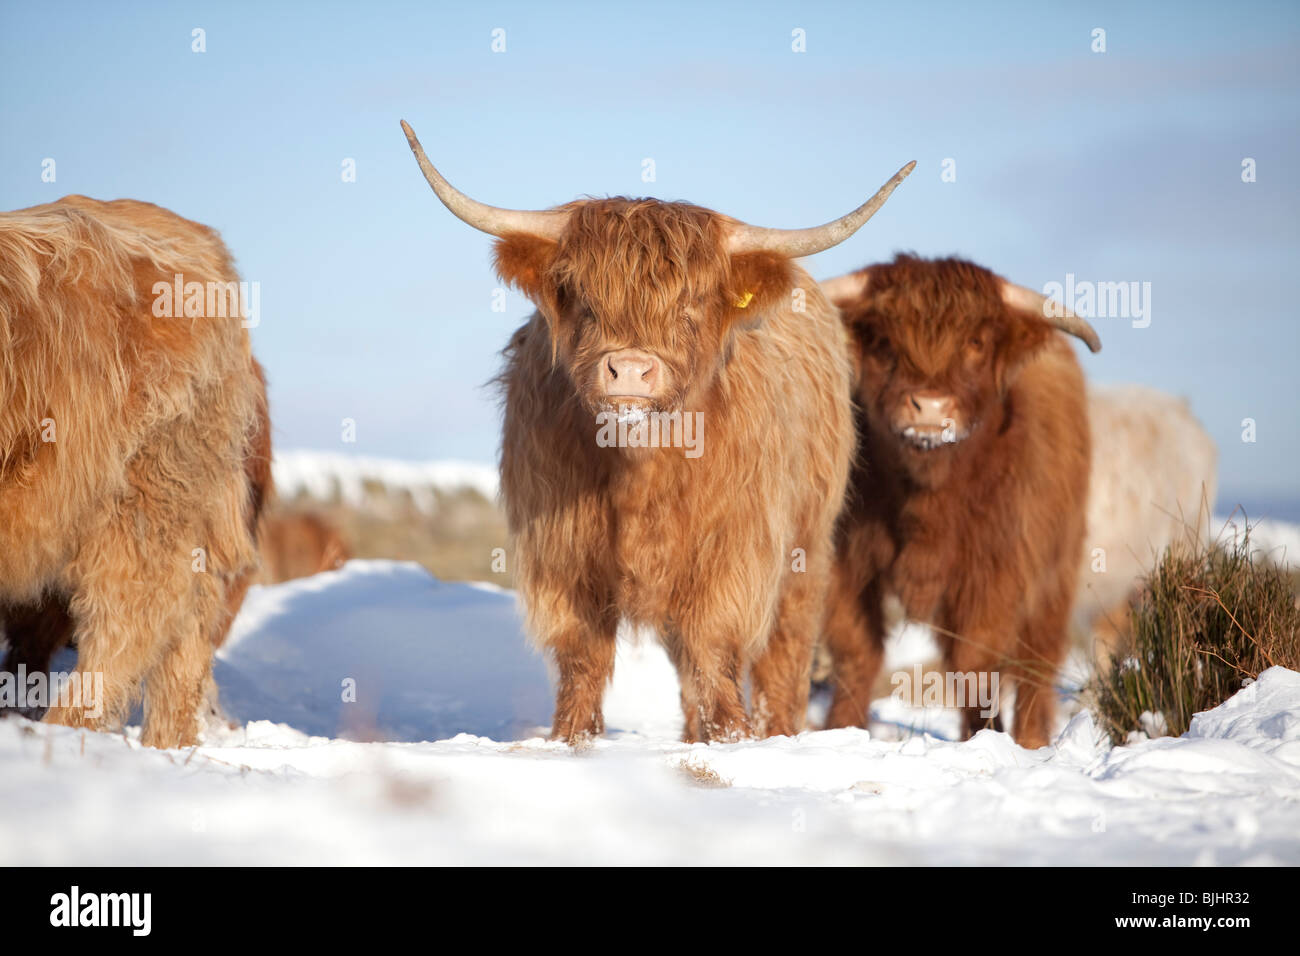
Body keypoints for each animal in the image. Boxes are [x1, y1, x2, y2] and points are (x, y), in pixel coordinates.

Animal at [400, 119, 909, 743]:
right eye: (584, 299)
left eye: (691, 304)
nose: (630, 369)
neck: (638, 466)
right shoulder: (562, 554)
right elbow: (584, 653)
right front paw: (571, 740)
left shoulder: (734, 553)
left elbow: (714, 647)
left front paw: (733, 741)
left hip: (806, 549)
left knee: (782, 657)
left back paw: (776, 734)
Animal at [821, 254, 1097, 749]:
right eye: (884, 341)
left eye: (976, 342)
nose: (930, 408)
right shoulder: (847, 563)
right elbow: (857, 650)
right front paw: (840, 732)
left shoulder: (997, 570)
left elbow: (976, 658)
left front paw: (985, 740)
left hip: (1056, 571)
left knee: (1037, 662)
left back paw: (1030, 739)